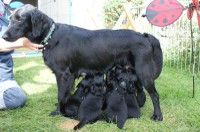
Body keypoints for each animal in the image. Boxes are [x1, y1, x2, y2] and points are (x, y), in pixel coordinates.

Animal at [2, 4, 163, 120]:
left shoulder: (63, 75)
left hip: (143, 73)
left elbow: (61, 95)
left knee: (155, 95)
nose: (3, 36)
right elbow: (66, 94)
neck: (52, 36)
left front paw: (58, 111)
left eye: (20, 19)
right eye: (10, 18)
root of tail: (143, 35)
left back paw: (157, 116)